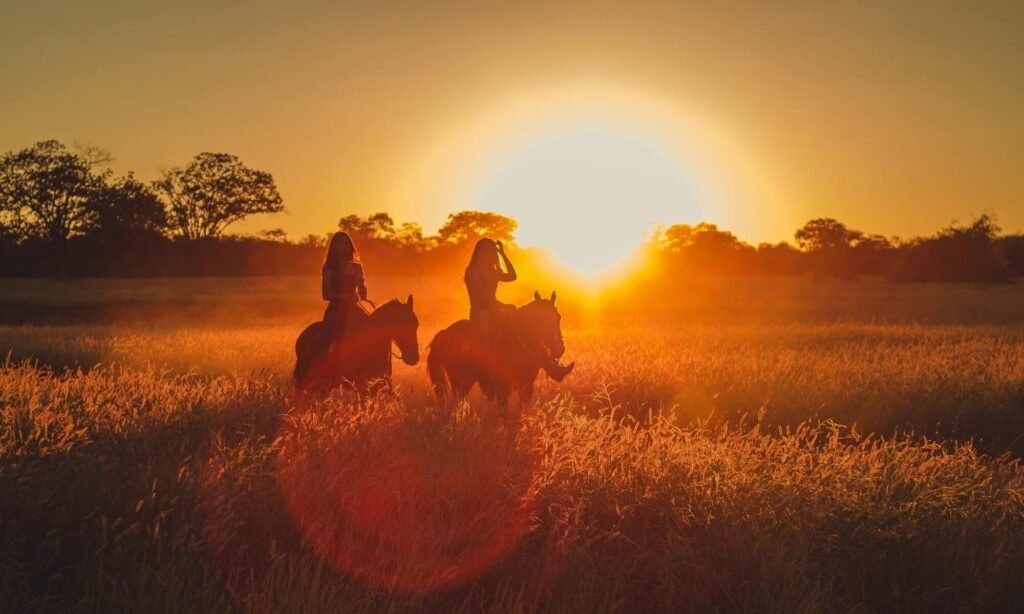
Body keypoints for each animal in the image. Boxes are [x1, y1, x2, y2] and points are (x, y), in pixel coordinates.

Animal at [423, 288, 569, 421]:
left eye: (559, 317)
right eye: (540, 319)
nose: (559, 349)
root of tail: (443, 333)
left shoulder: (526, 387)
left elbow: (520, 416)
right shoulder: (502, 390)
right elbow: (505, 417)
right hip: (459, 381)